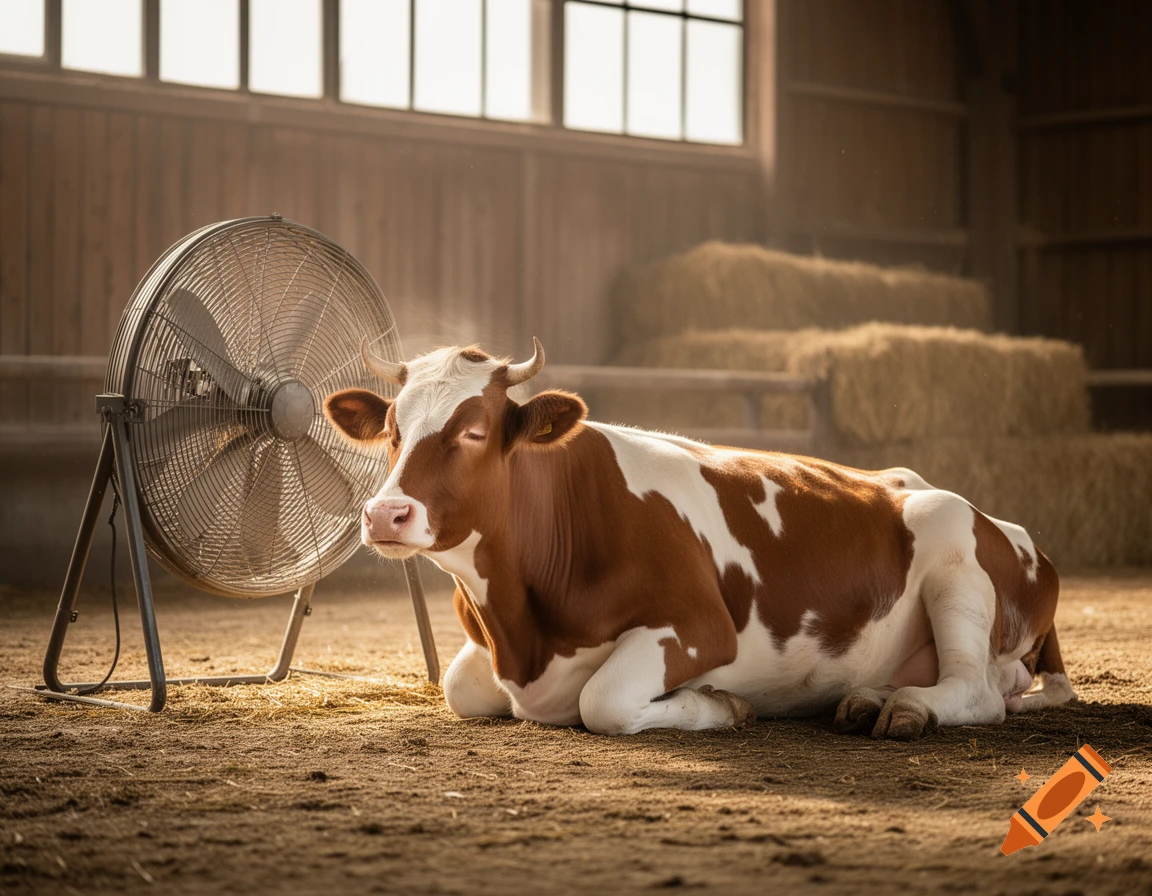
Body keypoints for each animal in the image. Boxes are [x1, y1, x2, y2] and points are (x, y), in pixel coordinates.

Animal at [323, 338, 1076, 739]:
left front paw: (723, 705)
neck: (521, 629)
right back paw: (868, 698)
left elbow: (603, 702)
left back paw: (907, 708)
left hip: (952, 551)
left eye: (475, 431)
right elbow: (459, 687)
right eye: (391, 430)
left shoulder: (697, 626)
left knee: (975, 691)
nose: (385, 514)